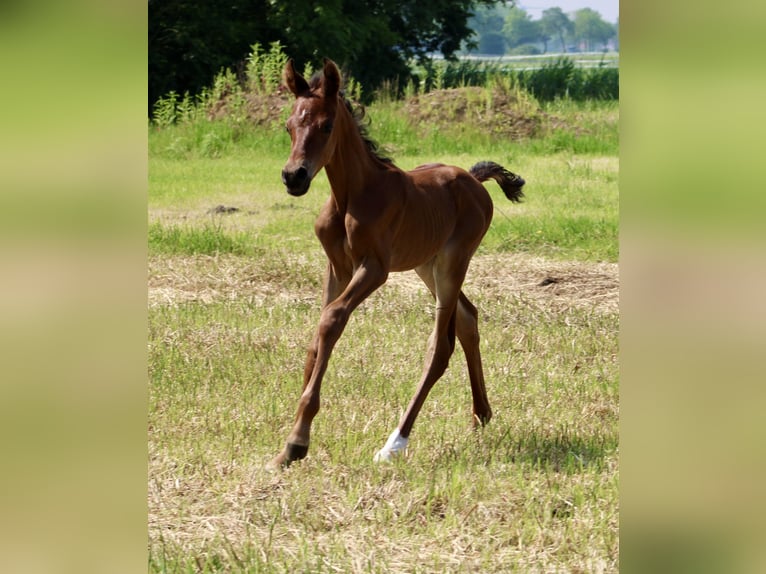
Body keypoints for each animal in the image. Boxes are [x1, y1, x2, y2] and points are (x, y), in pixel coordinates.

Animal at [268, 59, 524, 472]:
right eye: (289, 125)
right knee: (467, 317)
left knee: (440, 346)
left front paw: (297, 441)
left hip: (453, 261)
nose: (294, 176)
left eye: (326, 125)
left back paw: (395, 442)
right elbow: (318, 332)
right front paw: (289, 441)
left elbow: (331, 320)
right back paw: (481, 413)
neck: (352, 195)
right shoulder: (336, 267)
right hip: (426, 264)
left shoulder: (374, 269)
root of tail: (473, 178)